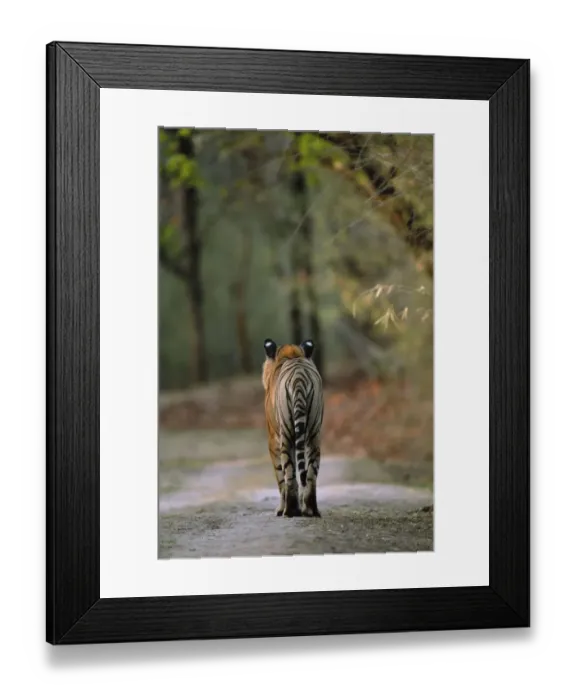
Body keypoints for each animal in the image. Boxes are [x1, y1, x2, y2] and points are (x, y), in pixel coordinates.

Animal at [262, 338, 324, 518]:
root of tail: (299, 376)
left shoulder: (273, 440)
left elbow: (280, 476)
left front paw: (280, 509)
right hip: (314, 435)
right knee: (311, 473)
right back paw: (310, 510)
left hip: (287, 434)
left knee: (288, 472)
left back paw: (289, 511)